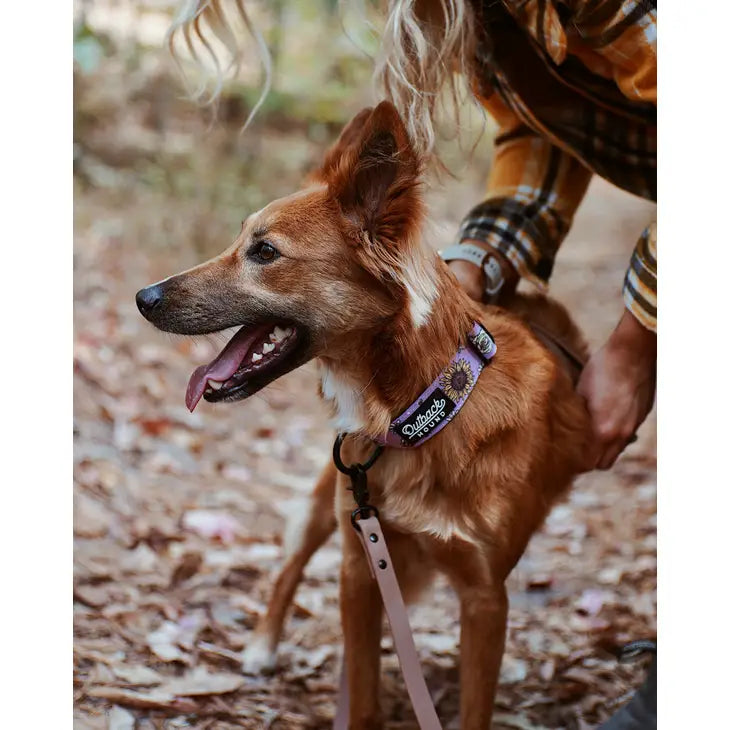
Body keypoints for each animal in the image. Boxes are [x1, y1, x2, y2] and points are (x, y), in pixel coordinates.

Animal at [136, 102, 588, 728]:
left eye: (264, 252)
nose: (144, 298)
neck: (417, 416)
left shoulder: (484, 596)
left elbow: (475, 701)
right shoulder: (359, 560)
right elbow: (364, 689)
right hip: (323, 507)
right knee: (289, 565)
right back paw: (261, 645)